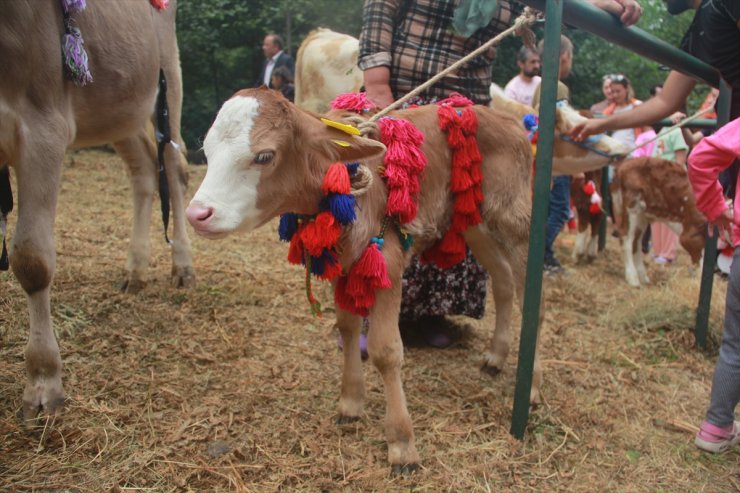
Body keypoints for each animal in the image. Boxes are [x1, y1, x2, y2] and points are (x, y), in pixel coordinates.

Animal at [0, 1, 194, 420]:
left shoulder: (42, 123)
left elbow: (32, 259)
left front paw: (43, 381)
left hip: (167, 81)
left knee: (173, 168)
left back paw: (183, 266)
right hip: (120, 106)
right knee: (144, 170)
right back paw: (135, 270)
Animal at [188, 86, 536, 470]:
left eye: (264, 156)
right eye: (207, 150)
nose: (197, 214)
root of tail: (510, 121)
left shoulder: (388, 261)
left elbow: (386, 350)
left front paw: (401, 443)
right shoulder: (343, 263)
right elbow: (348, 326)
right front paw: (351, 401)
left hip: (514, 217)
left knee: (529, 292)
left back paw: (530, 387)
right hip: (473, 219)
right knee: (503, 280)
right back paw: (495, 357)